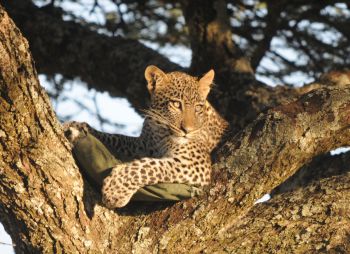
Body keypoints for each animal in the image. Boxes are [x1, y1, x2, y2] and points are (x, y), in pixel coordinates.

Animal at [65, 65, 230, 208]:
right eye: (176, 104)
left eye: (198, 108)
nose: (188, 130)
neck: (160, 131)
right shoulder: (142, 145)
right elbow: (116, 138)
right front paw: (78, 127)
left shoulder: (194, 164)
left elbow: (150, 166)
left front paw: (115, 190)